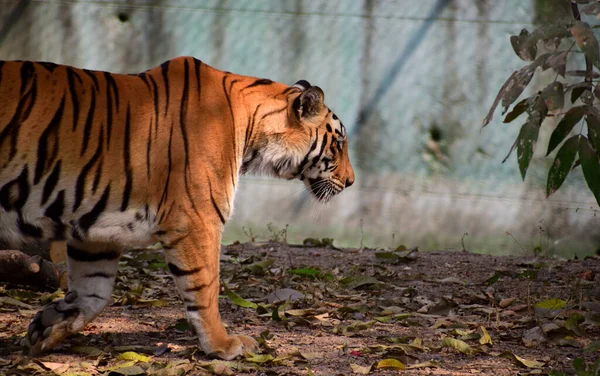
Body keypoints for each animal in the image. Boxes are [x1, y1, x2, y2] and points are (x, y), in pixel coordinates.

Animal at [0, 55, 354, 358]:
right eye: (338, 144)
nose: (351, 182)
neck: (254, 133)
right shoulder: (197, 220)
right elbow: (206, 287)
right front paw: (222, 344)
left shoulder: (97, 230)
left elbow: (93, 293)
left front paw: (46, 327)